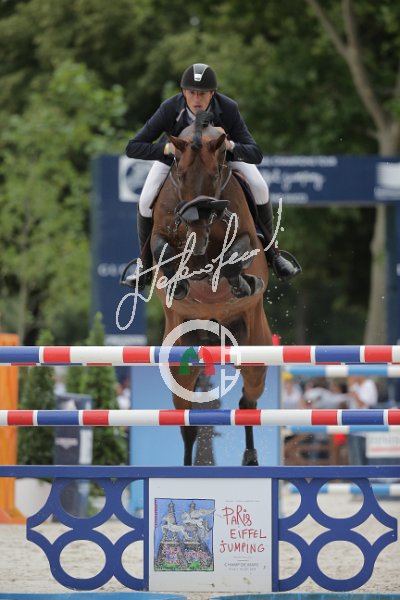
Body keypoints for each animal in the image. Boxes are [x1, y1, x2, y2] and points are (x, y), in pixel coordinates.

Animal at [151, 110, 273, 466]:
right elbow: (164, 253)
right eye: (180, 173)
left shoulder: (249, 242)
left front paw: (245, 283)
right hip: (180, 363)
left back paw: (250, 457)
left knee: (248, 402)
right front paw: (179, 286)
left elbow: (233, 261)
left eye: (215, 172)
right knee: (188, 420)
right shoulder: (162, 237)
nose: (199, 230)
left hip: (255, 351)